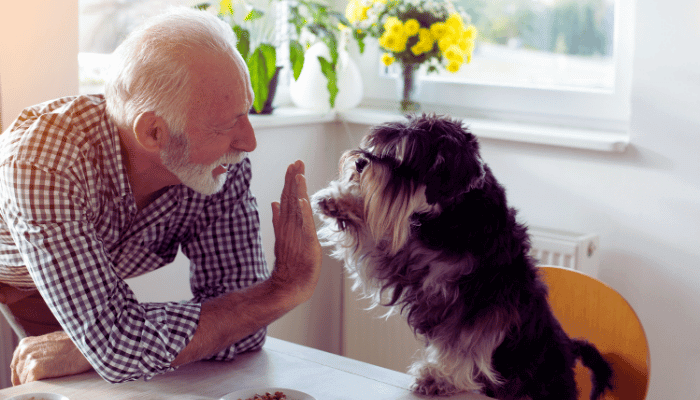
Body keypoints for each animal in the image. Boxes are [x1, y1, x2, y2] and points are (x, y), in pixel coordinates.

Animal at [312, 114, 612, 398]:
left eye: (403, 157)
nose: (360, 162)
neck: (454, 217)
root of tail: (570, 349)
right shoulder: (407, 262)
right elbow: (378, 239)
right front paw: (339, 201)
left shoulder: (481, 303)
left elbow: (463, 343)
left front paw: (439, 378)